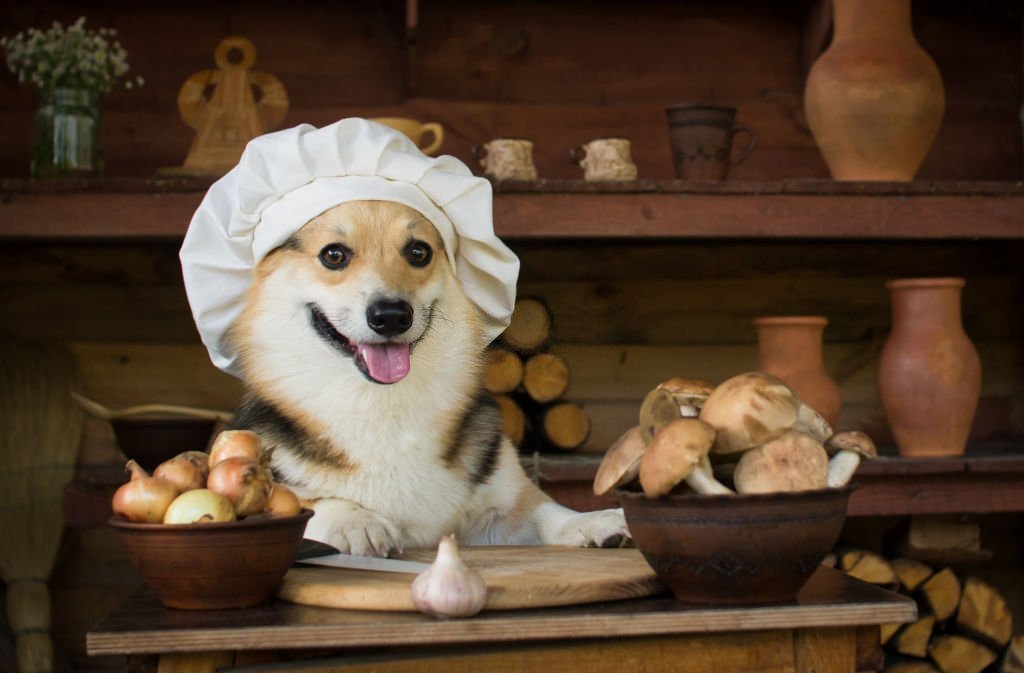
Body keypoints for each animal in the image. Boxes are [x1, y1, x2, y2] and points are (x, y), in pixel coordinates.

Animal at [228, 199, 626, 557]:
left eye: (418, 252)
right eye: (334, 255)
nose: (391, 316)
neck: (381, 403)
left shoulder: (504, 505)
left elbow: (547, 511)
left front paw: (594, 521)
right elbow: (311, 502)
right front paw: (355, 520)